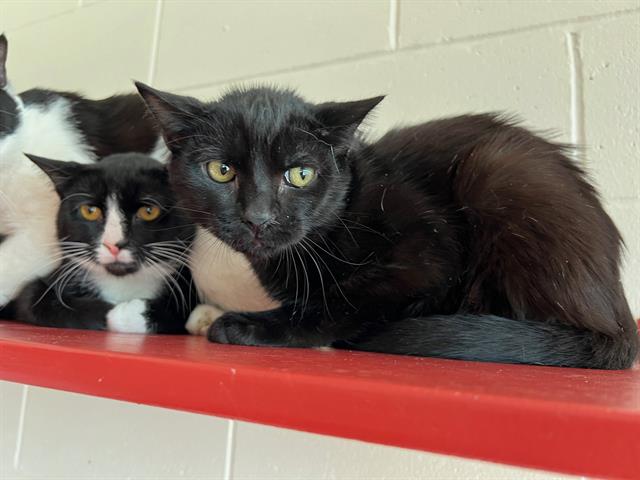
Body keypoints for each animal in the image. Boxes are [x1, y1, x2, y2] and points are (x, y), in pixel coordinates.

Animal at [17, 152, 195, 332]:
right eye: (89, 211)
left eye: (149, 211)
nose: (113, 245)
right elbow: (31, 298)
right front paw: (107, 313)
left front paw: (125, 314)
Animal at [134, 81, 636, 368]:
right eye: (221, 171)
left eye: (300, 174)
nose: (259, 216)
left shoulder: (429, 256)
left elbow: (346, 300)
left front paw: (248, 325)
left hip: (499, 168)